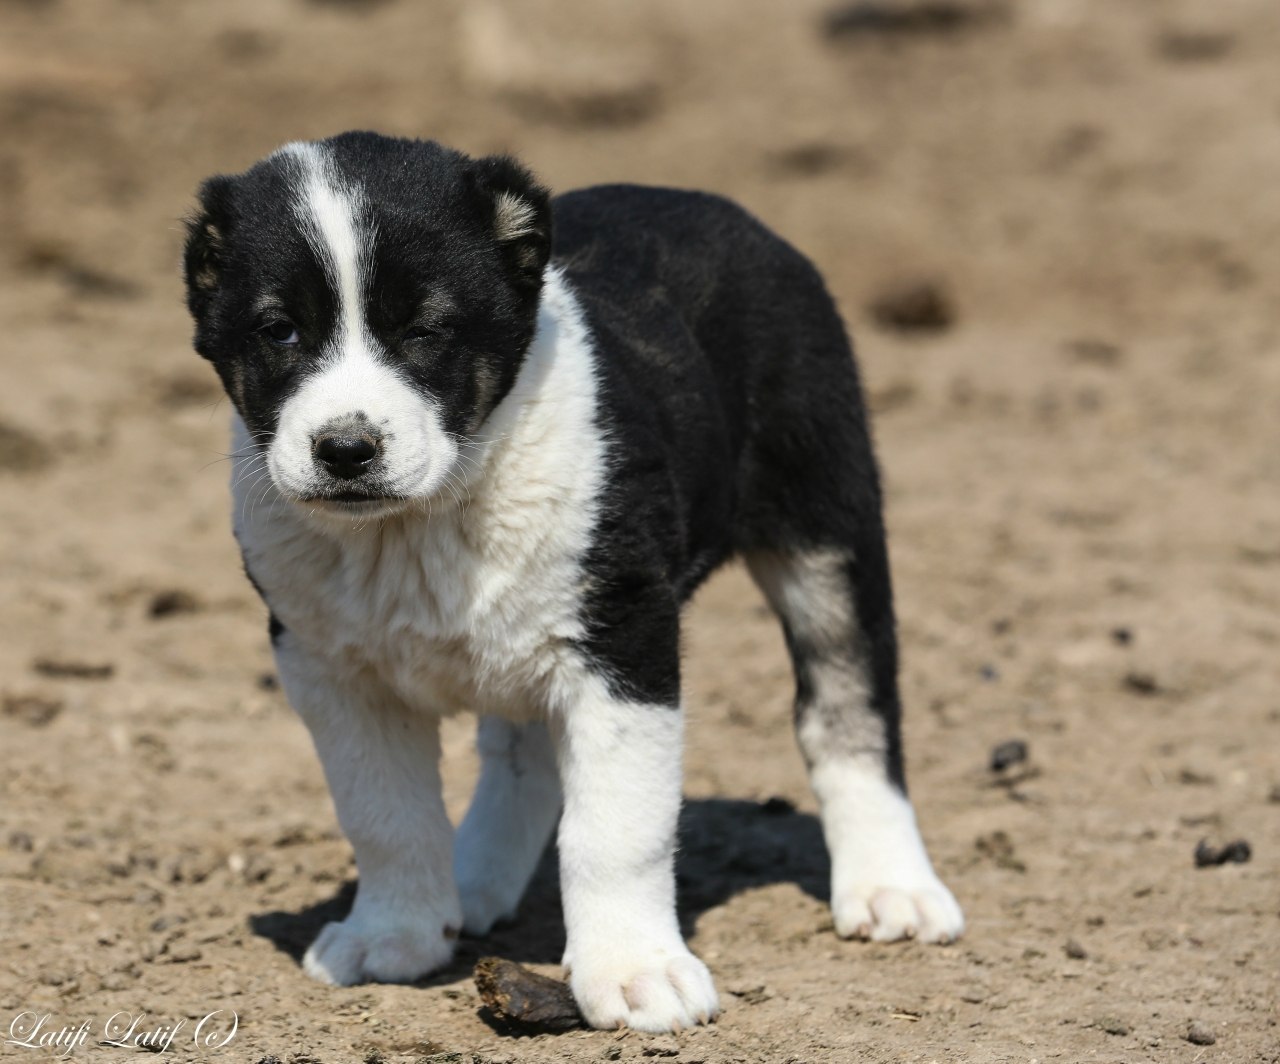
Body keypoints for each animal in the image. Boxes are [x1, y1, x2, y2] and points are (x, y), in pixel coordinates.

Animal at [183, 131, 962, 1034]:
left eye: (425, 331)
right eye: (278, 331)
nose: (346, 449)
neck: (425, 516)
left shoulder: (624, 640)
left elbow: (615, 829)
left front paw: (635, 971)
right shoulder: (329, 669)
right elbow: (384, 816)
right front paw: (394, 935)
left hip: (825, 529)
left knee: (848, 704)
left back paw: (891, 887)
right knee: (522, 752)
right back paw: (474, 881)